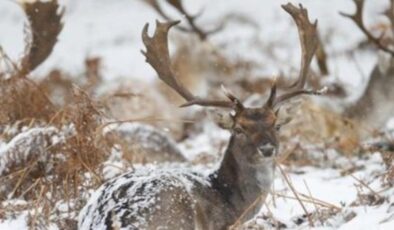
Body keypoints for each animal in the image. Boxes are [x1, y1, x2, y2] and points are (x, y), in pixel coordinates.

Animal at [77, 3, 324, 230]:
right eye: (238, 129)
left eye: (277, 125)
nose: (267, 148)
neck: (231, 203)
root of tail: (112, 216)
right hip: (175, 216)